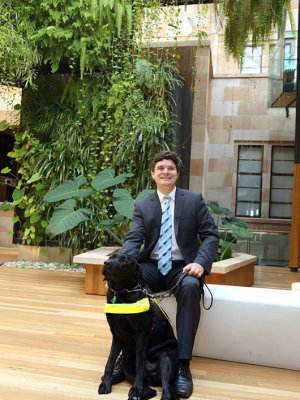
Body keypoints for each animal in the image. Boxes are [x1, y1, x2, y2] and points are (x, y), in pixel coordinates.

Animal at [98, 253, 178, 400]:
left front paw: (136, 388)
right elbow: (110, 361)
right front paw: (106, 384)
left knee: (165, 388)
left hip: (166, 358)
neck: (122, 293)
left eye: (124, 260)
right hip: (127, 365)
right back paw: (136, 393)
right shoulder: (116, 334)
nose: (106, 263)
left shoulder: (141, 335)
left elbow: (140, 365)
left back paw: (139, 392)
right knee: (151, 389)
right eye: (111, 257)